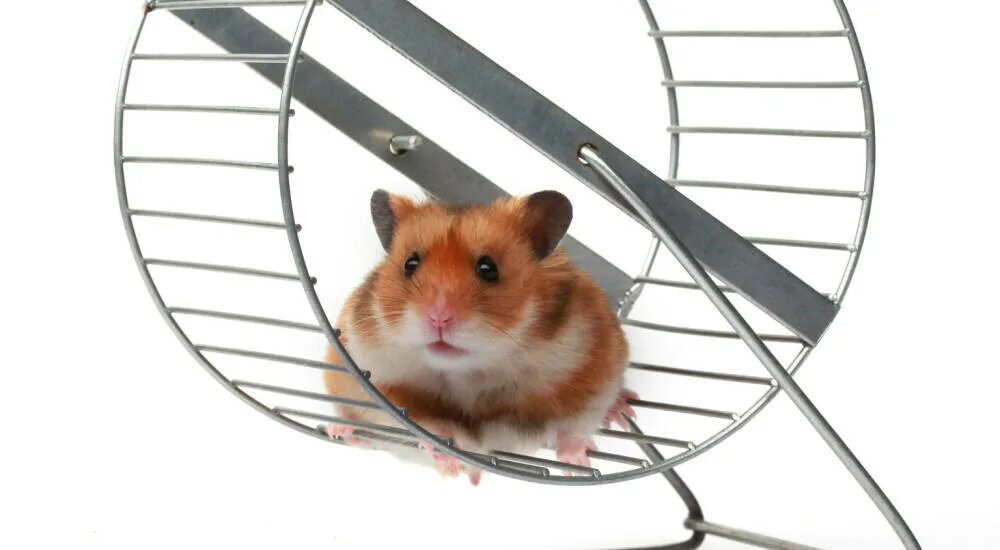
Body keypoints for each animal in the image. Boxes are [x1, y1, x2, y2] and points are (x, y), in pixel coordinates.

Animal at [323, 189, 636, 484]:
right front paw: (445, 456)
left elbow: (575, 426)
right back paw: (340, 431)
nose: (438, 318)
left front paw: (577, 463)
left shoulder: (593, 368)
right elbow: (426, 425)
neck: (470, 371)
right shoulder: (379, 380)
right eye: (410, 264)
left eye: (488, 268)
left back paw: (621, 412)